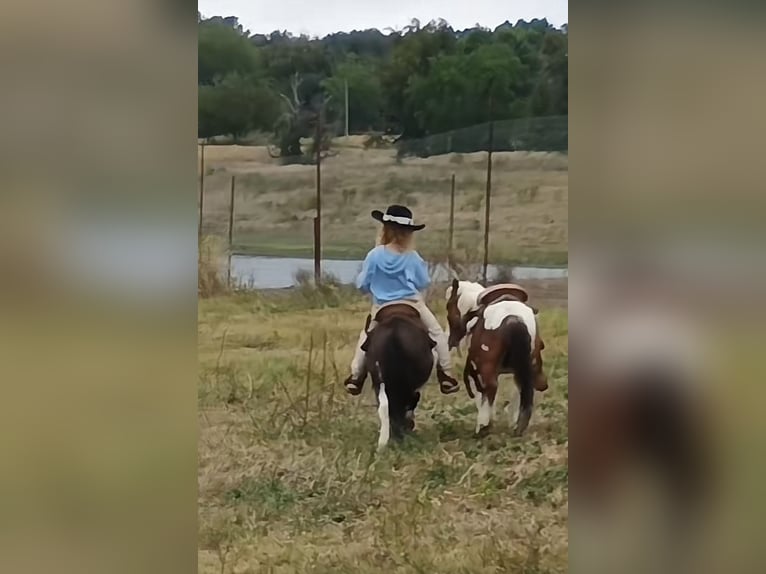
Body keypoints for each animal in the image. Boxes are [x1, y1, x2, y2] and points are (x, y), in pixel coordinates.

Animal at [448, 280, 548, 436]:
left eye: (449, 308)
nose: (451, 342)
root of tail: (513, 318)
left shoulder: (477, 370)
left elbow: (481, 395)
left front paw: (486, 422)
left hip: (487, 366)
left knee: (492, 387)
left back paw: (482, 427)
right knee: (522, 388)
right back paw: (518, 426)